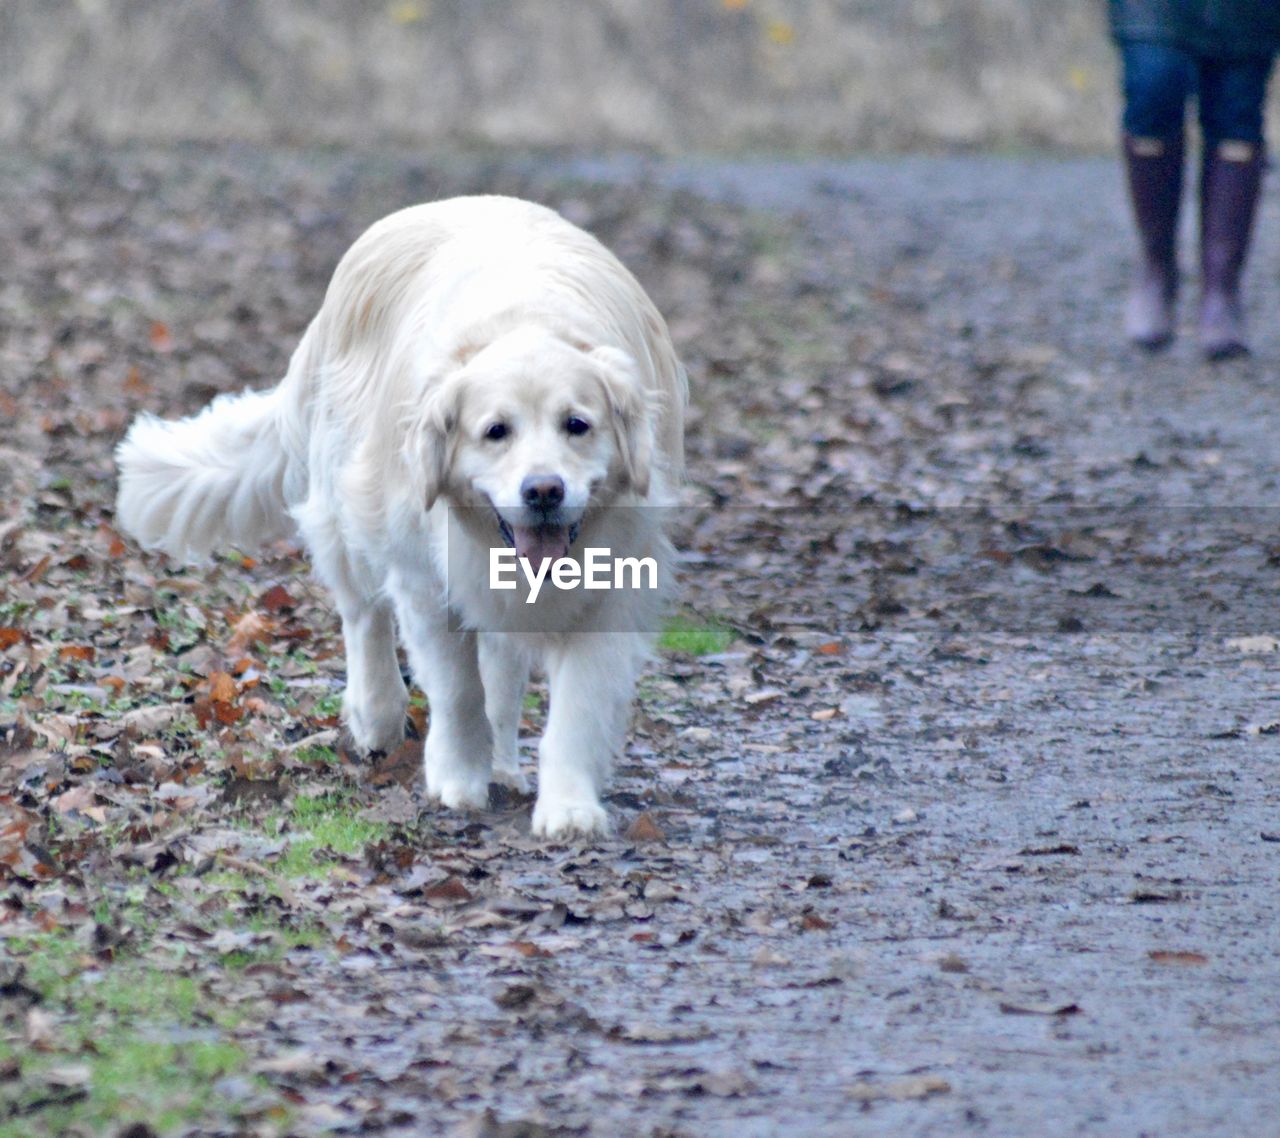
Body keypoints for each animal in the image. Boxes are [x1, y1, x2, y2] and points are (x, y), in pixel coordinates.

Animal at [115, 193, 686, 834]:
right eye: (495, 431)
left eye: (577, 425)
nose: (544, 491)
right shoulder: (425, 583)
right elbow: (459, 691)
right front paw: (459, 779)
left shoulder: (611, 590)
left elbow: (576, 706)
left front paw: (568, 807)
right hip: (347, 512)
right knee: (364, 618)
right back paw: (378, 717)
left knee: (501, 670)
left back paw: (504, 764)